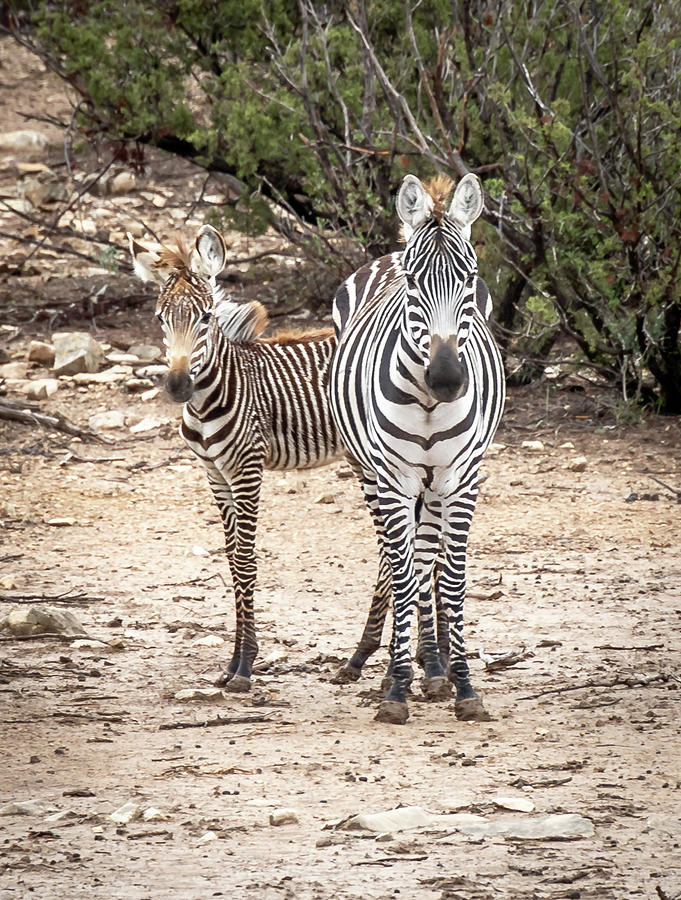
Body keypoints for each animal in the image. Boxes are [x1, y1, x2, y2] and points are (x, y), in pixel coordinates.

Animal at [126, 223, 394, 688]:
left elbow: (247, 561)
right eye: (160, 319)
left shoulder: (248, 469)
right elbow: (233, 561)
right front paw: (233, 661)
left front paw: (246, 665)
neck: (212, 396)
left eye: (206, 317)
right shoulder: (214, 474)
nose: (177, 387)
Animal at [330, 174, 504, 724]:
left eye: (470, 279)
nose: (447, 379)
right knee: (396, 561)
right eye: (413, 283)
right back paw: (396, 665)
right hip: (368, 472)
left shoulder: (461, 479)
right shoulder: (394, 478)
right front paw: (396, 689)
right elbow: (404, 576)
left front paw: (463, 684)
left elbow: (450, 578)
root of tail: (389, 251)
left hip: (434, 484)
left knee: (426, 558)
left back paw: (434, 664)